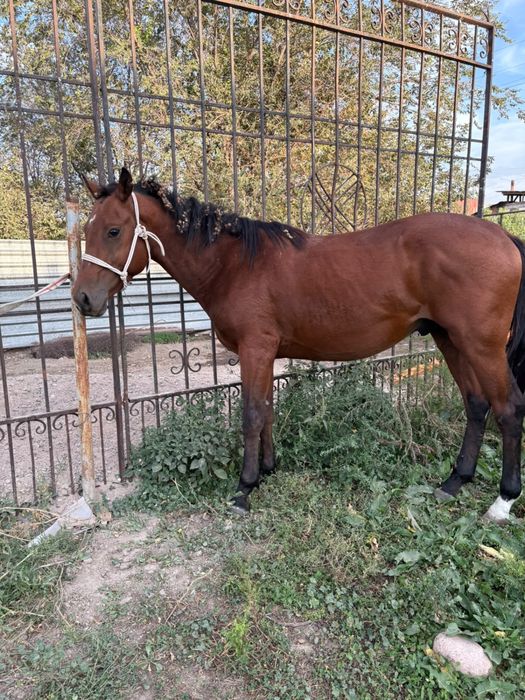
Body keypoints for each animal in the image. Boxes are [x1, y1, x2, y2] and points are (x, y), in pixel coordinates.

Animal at [73, 167, 525, 523]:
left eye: (113, 230)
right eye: (87, 231)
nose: (82, 299)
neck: (234, 265)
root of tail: (505, 237)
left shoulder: (255, 349)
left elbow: (251, 415)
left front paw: (245, 488)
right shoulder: (267, 352)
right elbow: (267, 410)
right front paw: (268, 469)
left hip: (481, 346)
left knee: (508, 408)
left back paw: (502, 501)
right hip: (451, 340)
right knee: (476, 404)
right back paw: (454, 481)